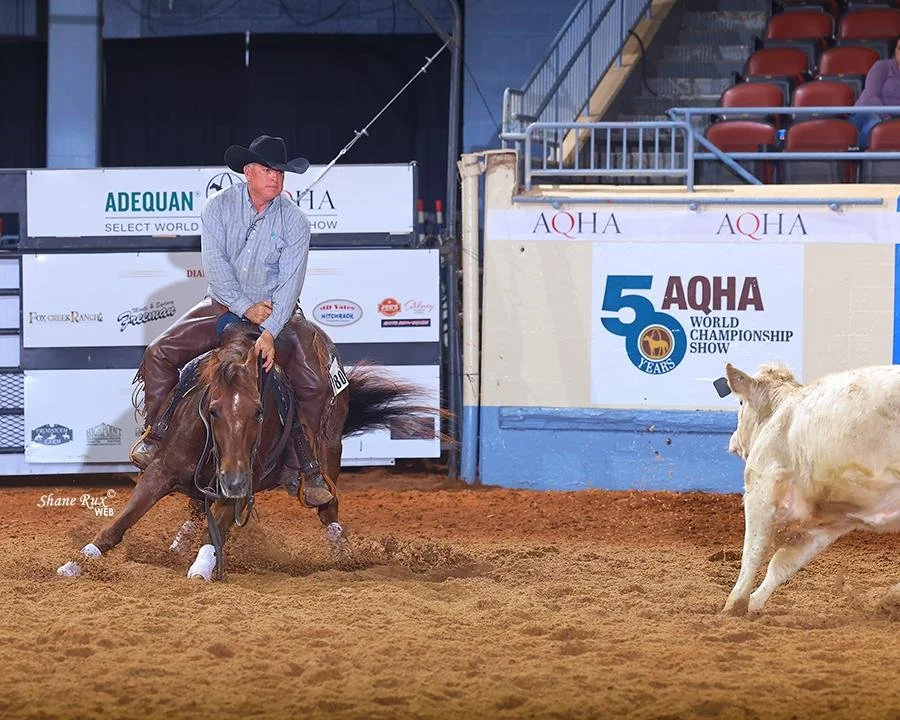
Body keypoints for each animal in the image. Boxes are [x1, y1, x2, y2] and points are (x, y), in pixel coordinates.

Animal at [57, 320, 438, 580]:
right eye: (212, 410)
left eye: (258, 411)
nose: (234, 478)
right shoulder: (163, 470)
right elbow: (121, 521)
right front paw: (77, 562)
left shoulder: (240, 486)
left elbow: (216, 531)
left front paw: (201, 568)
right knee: (196, 508)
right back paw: (177, 545)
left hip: (329, 451)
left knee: (329, 508)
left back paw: (344, 553)